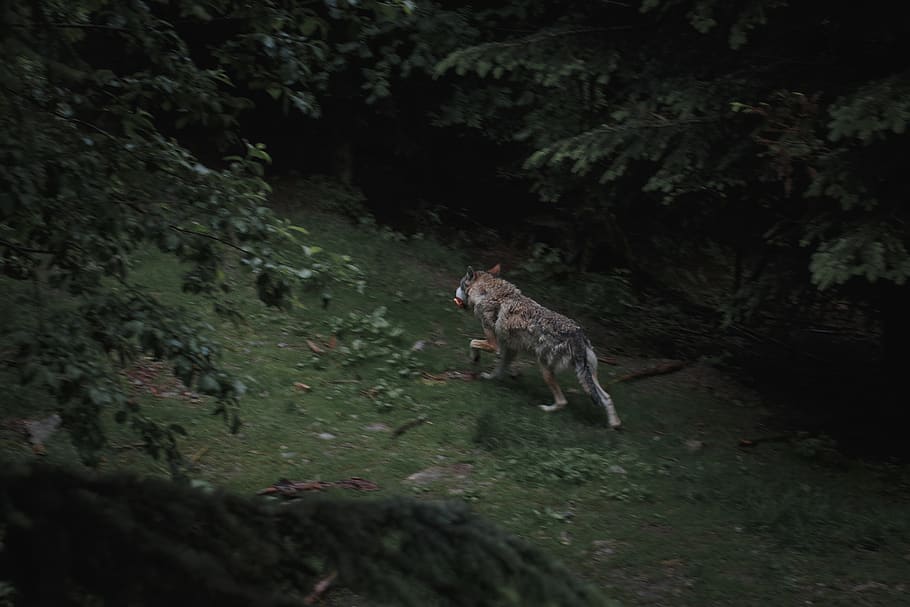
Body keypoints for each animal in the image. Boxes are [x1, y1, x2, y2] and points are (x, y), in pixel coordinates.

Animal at [454, 264, 622, 429]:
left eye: (461, 284)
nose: (454, 293)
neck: (488, 293)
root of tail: (578, 336)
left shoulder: (493, 344)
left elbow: (472, 343)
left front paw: (475, 359)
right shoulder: (510, 350)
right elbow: (498, 369)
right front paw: (490, 378)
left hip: (545, 369)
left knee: (562, 401)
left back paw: (545, 409)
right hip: (587, 376)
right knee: (607, 397)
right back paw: (614, 425)